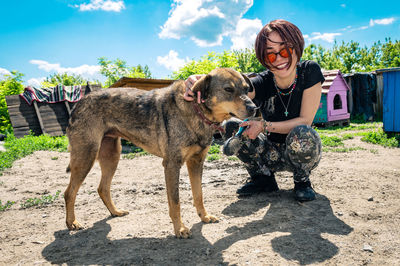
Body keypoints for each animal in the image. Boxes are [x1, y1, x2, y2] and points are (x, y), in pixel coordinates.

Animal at [63, 67, 256, 238]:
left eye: (246, 89)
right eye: (228, 89)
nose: (254, 108)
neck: (196, 110)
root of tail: (79, 102)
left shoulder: (196, 162)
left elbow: (198, 195)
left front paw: (204, 216)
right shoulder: (171, 165)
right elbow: (175, 202)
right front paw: (180, 229)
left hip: (112, 156)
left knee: (102, 188)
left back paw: (115, 212)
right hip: (86, 157)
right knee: (69, 193)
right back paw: (72, 223)